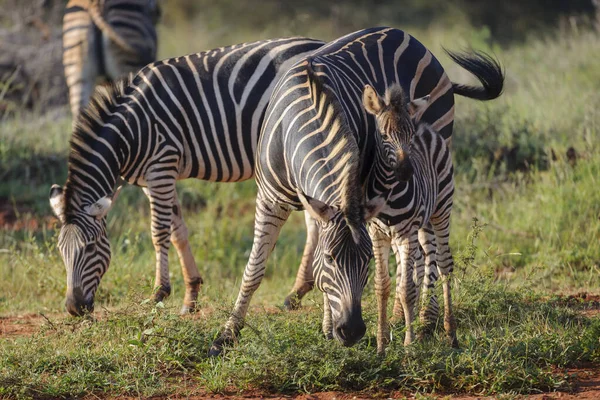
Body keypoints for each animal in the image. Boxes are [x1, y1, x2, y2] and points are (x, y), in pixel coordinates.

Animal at [49, 39, 326, 318]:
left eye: (91, 246)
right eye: (60, 251)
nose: (73, 308)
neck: (128, 132)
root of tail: (320, 44)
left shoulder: (161, 166)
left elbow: (158, 231)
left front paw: (159, 292)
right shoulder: (153, 179)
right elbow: (177, 230)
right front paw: (191, 295)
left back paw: (301, 291)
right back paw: (297, 293)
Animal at [209, 26, 504, 354]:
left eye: (366, 262)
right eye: (330, 259)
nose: (351, 331)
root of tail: (406, 34)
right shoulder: (272, 199)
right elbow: (254, 269)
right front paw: (226, 335)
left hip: (436, 160)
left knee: (429, 249)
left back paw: (427, 321)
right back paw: (400, 316)